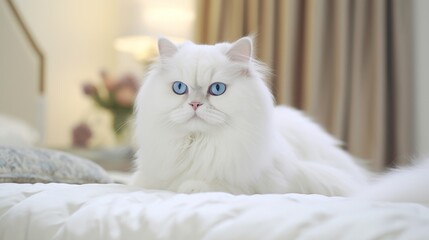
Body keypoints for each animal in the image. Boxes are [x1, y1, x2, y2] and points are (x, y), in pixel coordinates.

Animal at [132, 37, 426, 202]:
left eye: (217, 89)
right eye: (179, 88)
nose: (194, 104)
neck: (198, 144)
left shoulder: (267, 182)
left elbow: (218, 185)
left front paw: (191, 186)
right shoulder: (149, 177)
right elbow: (142, 183)